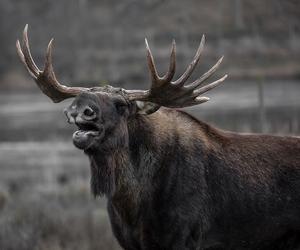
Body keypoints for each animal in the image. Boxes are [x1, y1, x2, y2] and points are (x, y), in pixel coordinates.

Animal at [17, 25, 300, 250]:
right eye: (82, 95)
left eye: (122, 104)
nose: (81, 108)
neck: (131, 203)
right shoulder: (130, 242)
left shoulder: (183, 237)